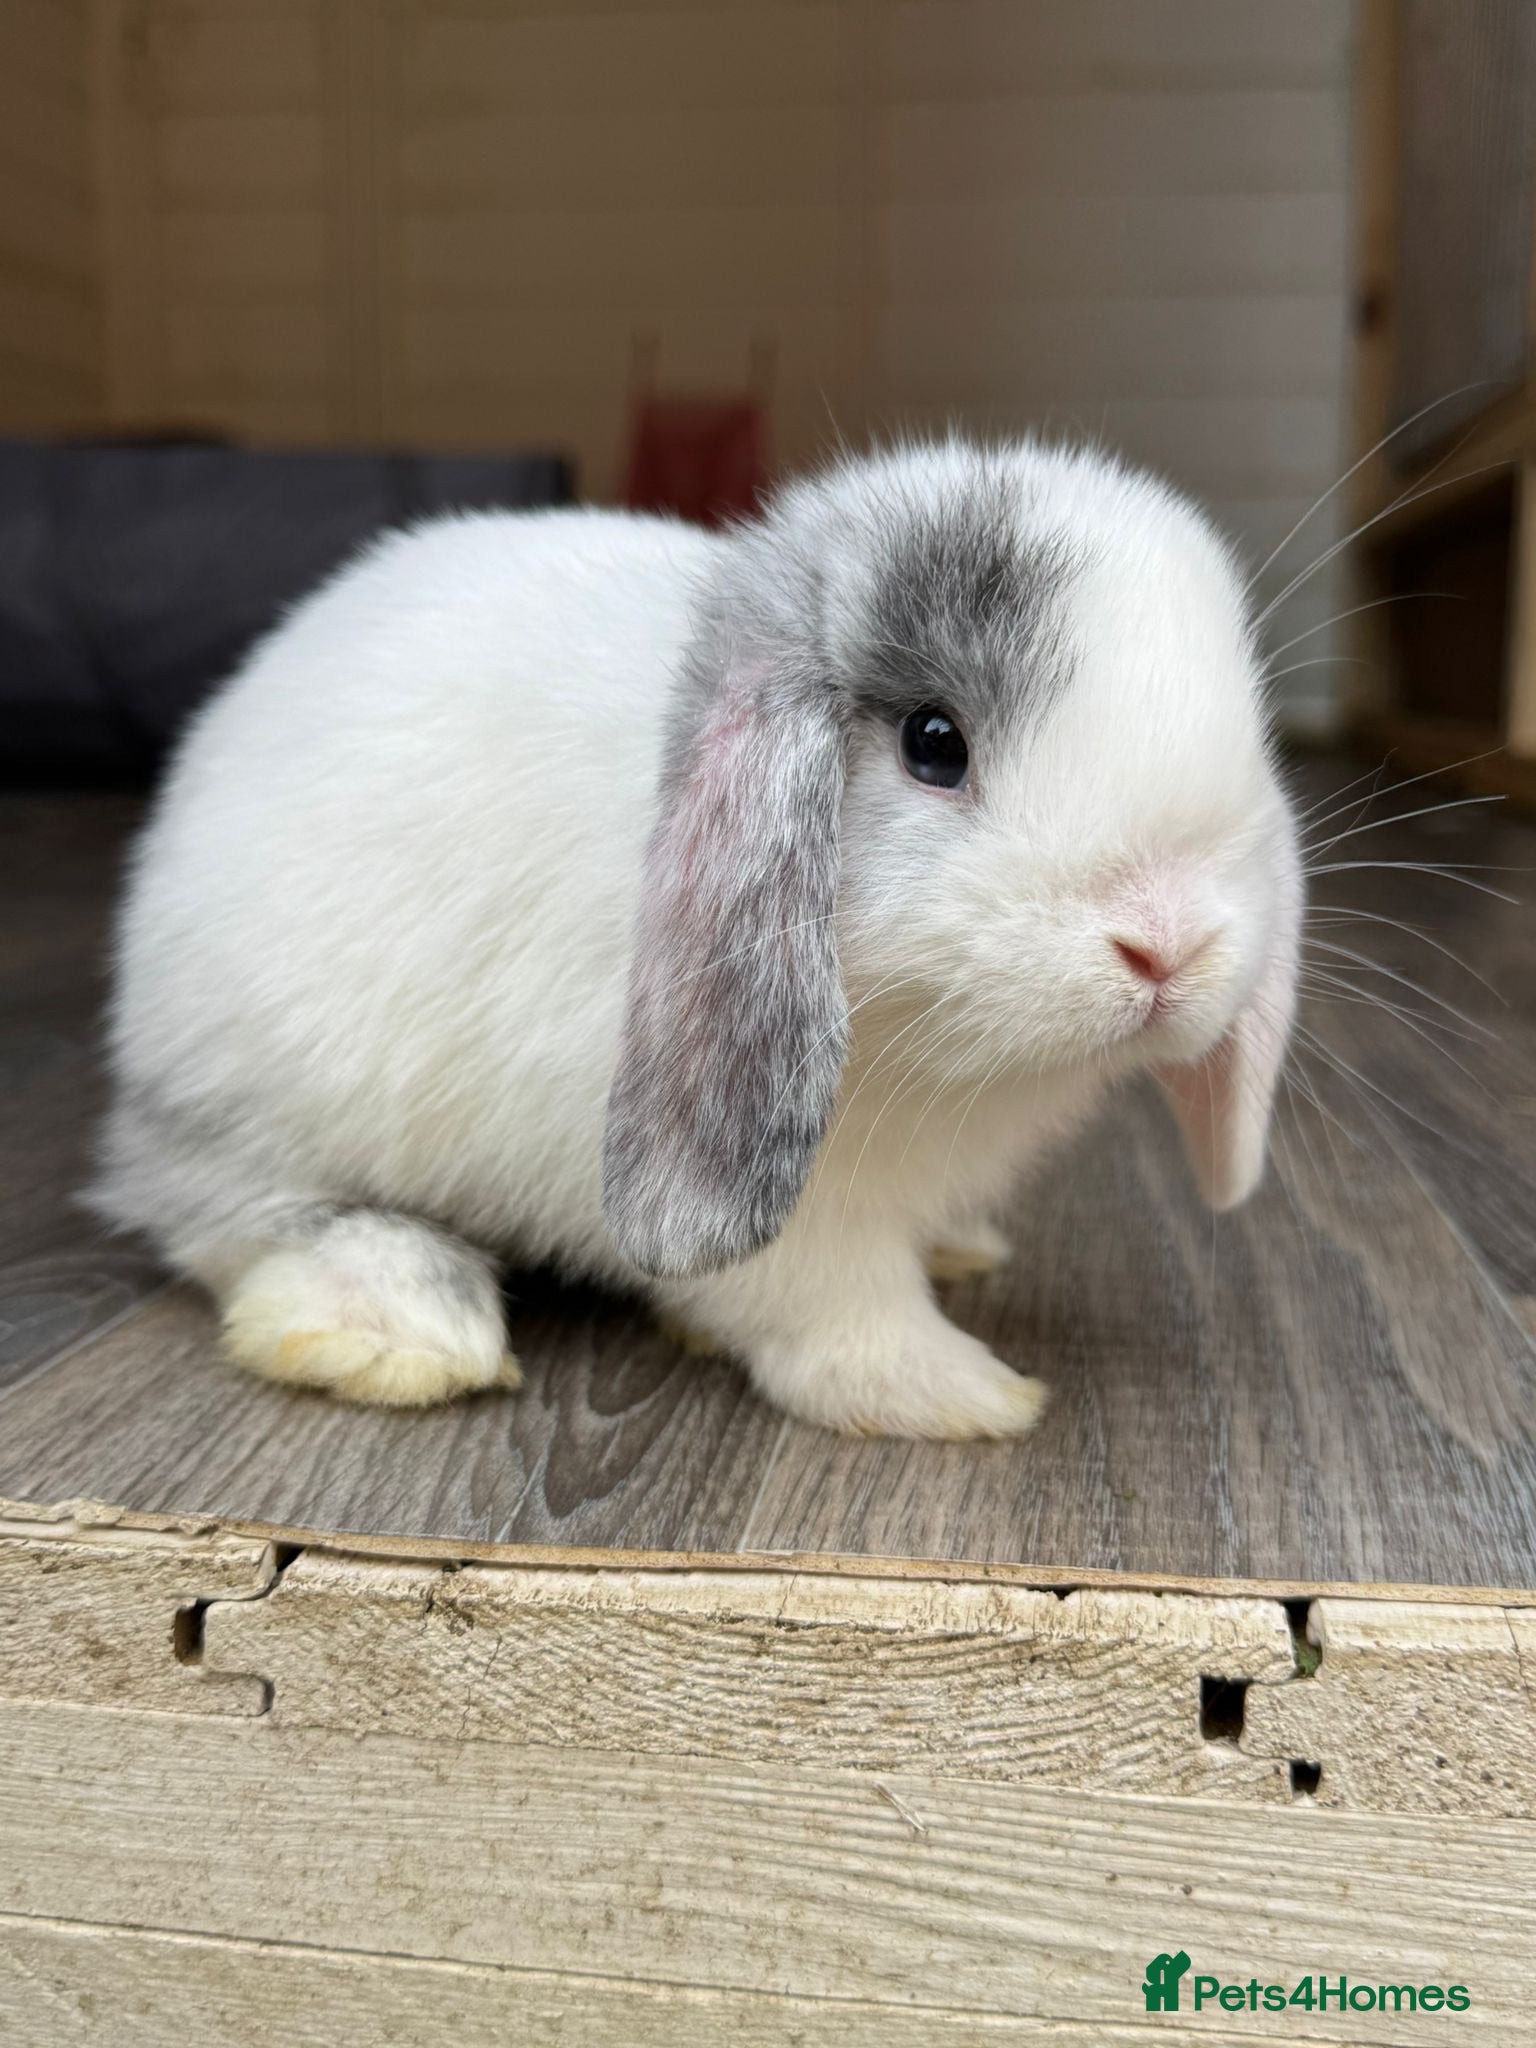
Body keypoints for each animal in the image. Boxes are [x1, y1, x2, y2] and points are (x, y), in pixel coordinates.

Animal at [92, 437, 1301, 1439]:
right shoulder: (803, 1211)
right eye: (934, 743)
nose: (1169, 944)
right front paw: (958, 1395)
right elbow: (830, 1304)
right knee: (214, 1207)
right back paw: (395, 1331)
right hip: (265, 1091)